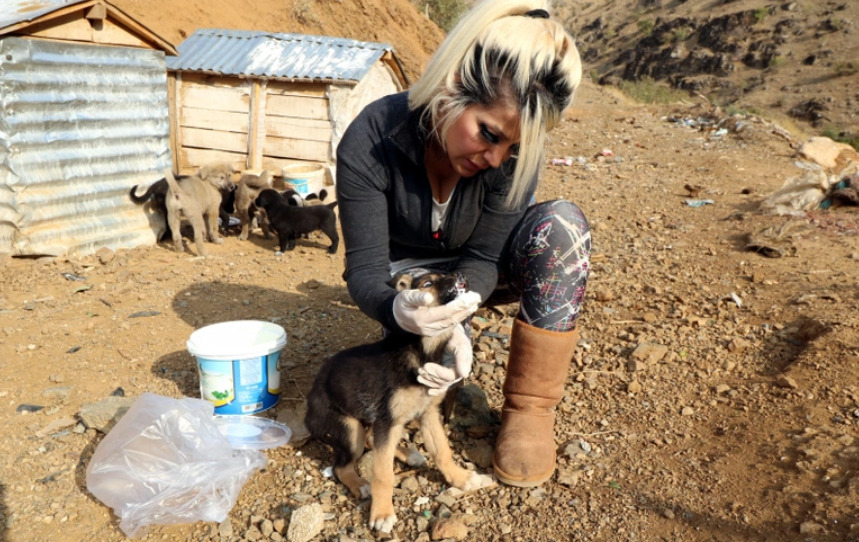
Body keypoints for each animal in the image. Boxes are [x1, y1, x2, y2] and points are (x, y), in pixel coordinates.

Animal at [306, 274, 494, 532]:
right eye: (427, 284)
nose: (459, 277)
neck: (422, 350)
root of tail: (307, 415)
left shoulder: (428, 414)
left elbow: (443, 451)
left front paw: (461, 478)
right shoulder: (387, 420)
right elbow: (383, 473)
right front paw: (382, 513)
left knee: (371, 441)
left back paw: (409, 454)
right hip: (349, 429)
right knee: (341, 466)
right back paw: (360, 484)